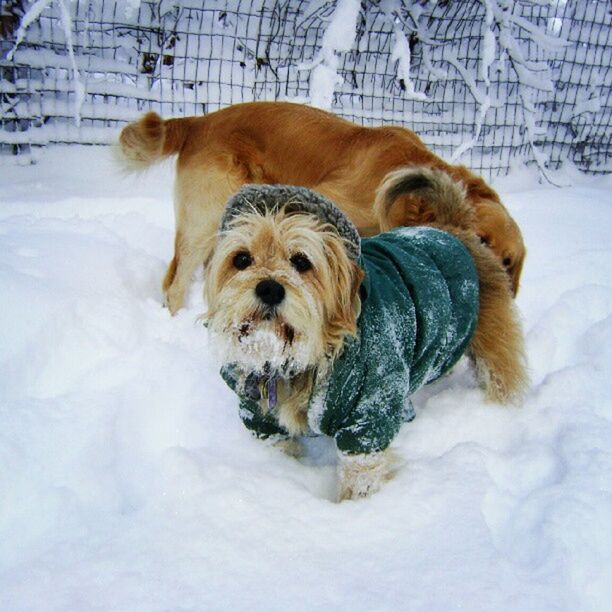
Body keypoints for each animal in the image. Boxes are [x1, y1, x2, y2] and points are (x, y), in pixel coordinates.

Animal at [204, 169, 524, 502]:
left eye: (301, 261)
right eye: (241, 259)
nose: (269, 288)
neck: (297, 359)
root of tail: (452, 227)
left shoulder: (369, 416)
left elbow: (361, 472)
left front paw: (355, 508)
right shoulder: (260, 417)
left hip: (494, 345)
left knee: (503, 376)